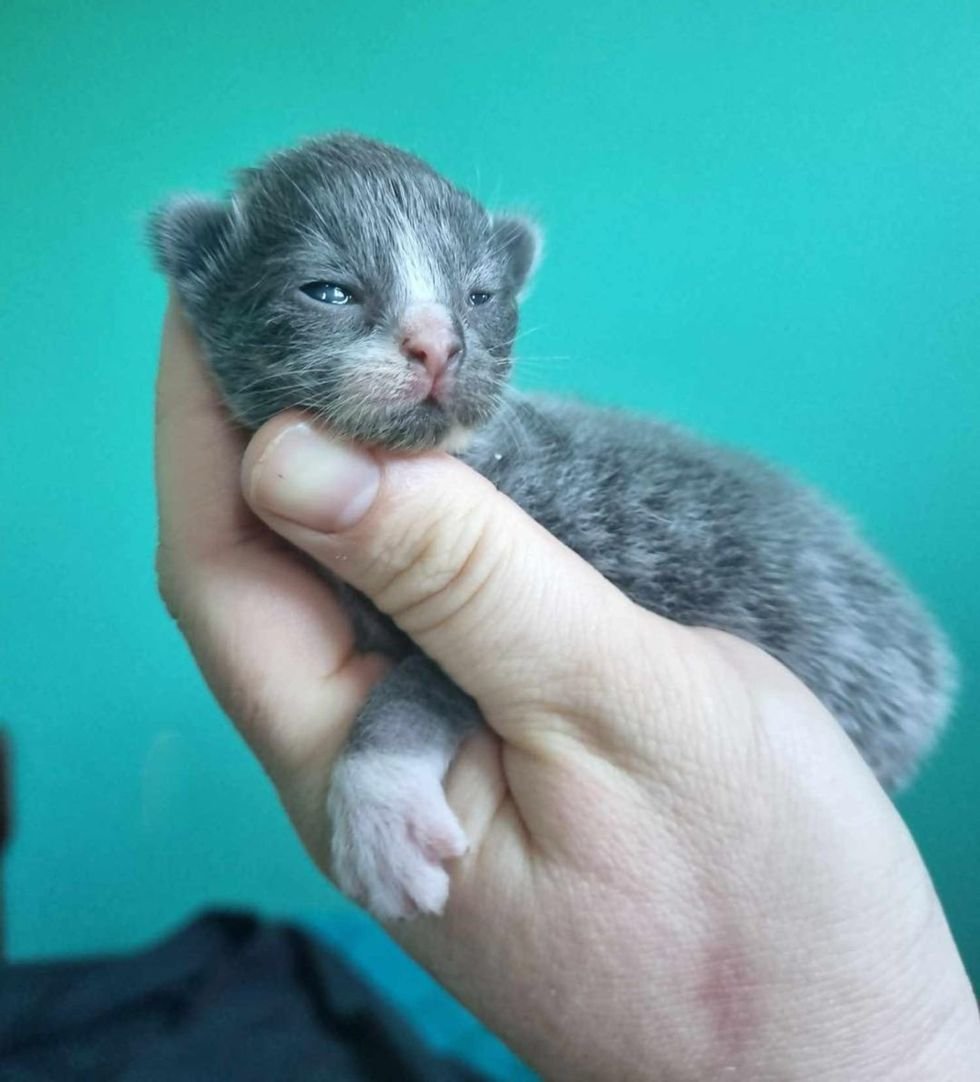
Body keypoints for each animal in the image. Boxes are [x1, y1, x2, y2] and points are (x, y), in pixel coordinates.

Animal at [149, 130, 951, 917]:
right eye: (327, 290)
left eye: (479, 296)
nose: (439, 345)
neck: (468, 455)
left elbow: (425, 684)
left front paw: (381, 805)